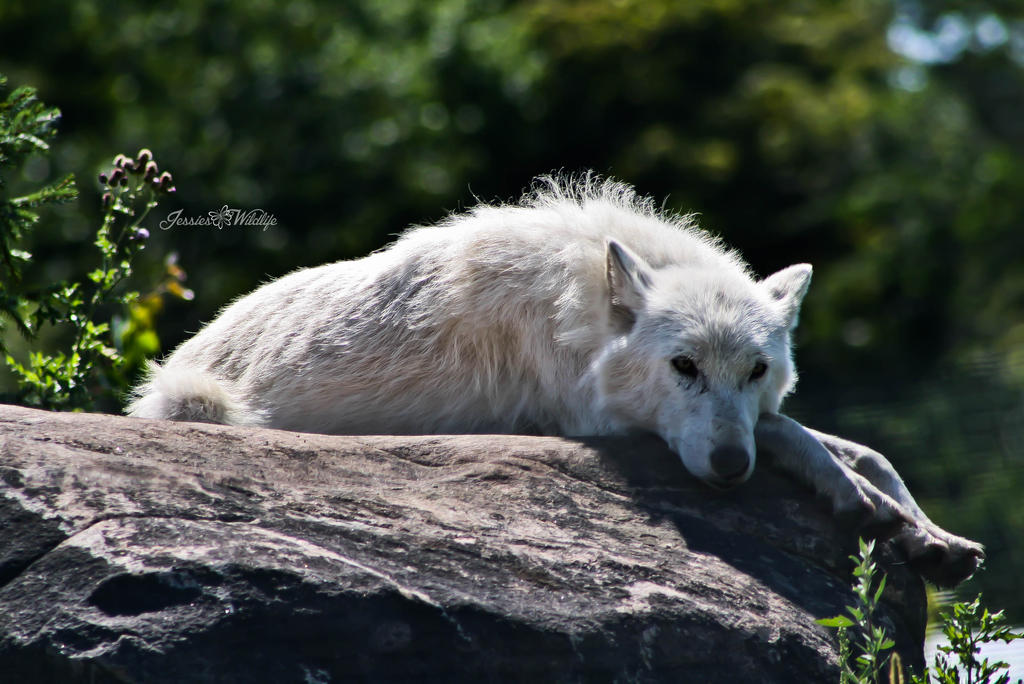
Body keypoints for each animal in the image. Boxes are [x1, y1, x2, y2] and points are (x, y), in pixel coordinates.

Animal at [129, 175, 983, 586]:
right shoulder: (599, 420)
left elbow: (864, 446)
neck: (582, 310)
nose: (729, 469)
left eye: (756, 369)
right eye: (684, 368)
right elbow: (798, 432)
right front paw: (860, 499)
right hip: (199, 400)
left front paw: (933, 537)